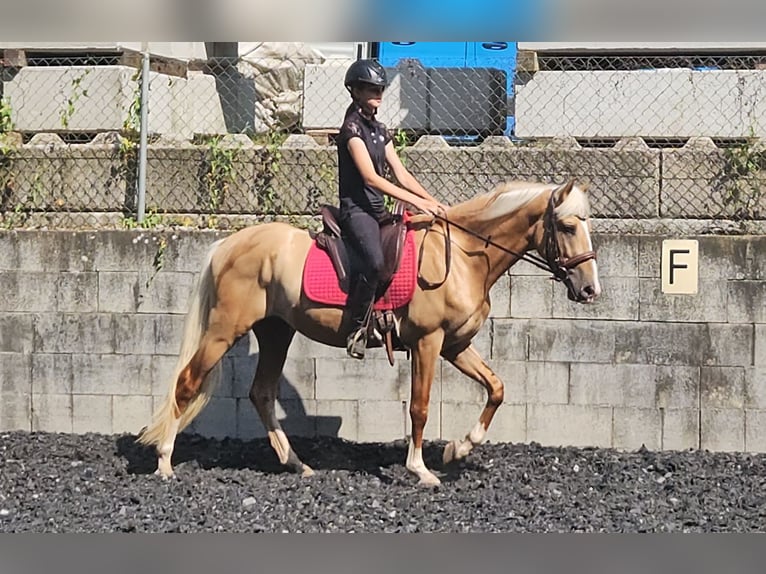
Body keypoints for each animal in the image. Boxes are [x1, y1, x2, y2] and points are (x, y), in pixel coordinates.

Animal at [141, 180, 604, 486]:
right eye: (567, 227)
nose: (589, 290)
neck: (463, 257)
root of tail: (228, 244)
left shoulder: (456, 345)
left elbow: (497, 388)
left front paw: (458, 448)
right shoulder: (429, 342)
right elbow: (419, 407)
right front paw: (421, 469)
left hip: (276, 331)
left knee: (262, 393)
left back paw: (297, 465)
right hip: (225, 328)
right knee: (187, 383)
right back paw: (164, 464)